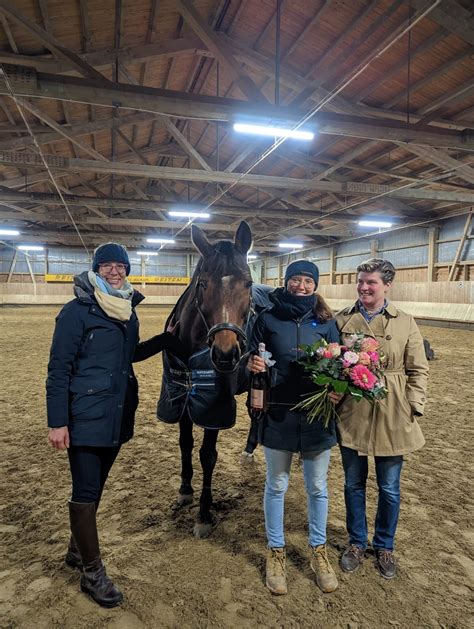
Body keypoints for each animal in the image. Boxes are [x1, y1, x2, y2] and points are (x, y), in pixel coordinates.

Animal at [158, 220, 256, 536]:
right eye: (202, 283)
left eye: (249, 283)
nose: (226, 353)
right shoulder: (183, 397)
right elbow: (186, 443)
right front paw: (185, 490)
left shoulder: (215, 405)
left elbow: (207, 455)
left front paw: (203, 514)